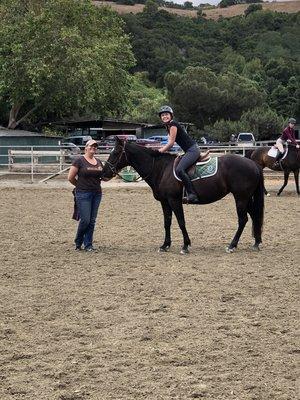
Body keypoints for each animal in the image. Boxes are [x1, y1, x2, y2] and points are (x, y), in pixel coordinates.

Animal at [102, 138, 264, 253]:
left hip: (241, 198)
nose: (104, 173)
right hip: (246, 198)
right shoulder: (165, 202)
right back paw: (256, 243)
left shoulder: (174, 200)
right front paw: (165, 245)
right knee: (255, 216)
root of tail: (253, 164)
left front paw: (185, 245)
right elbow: (167, 222)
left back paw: (232, 245)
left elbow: (181, 222)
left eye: (115, 153)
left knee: (243, 220)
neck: (161, 169)